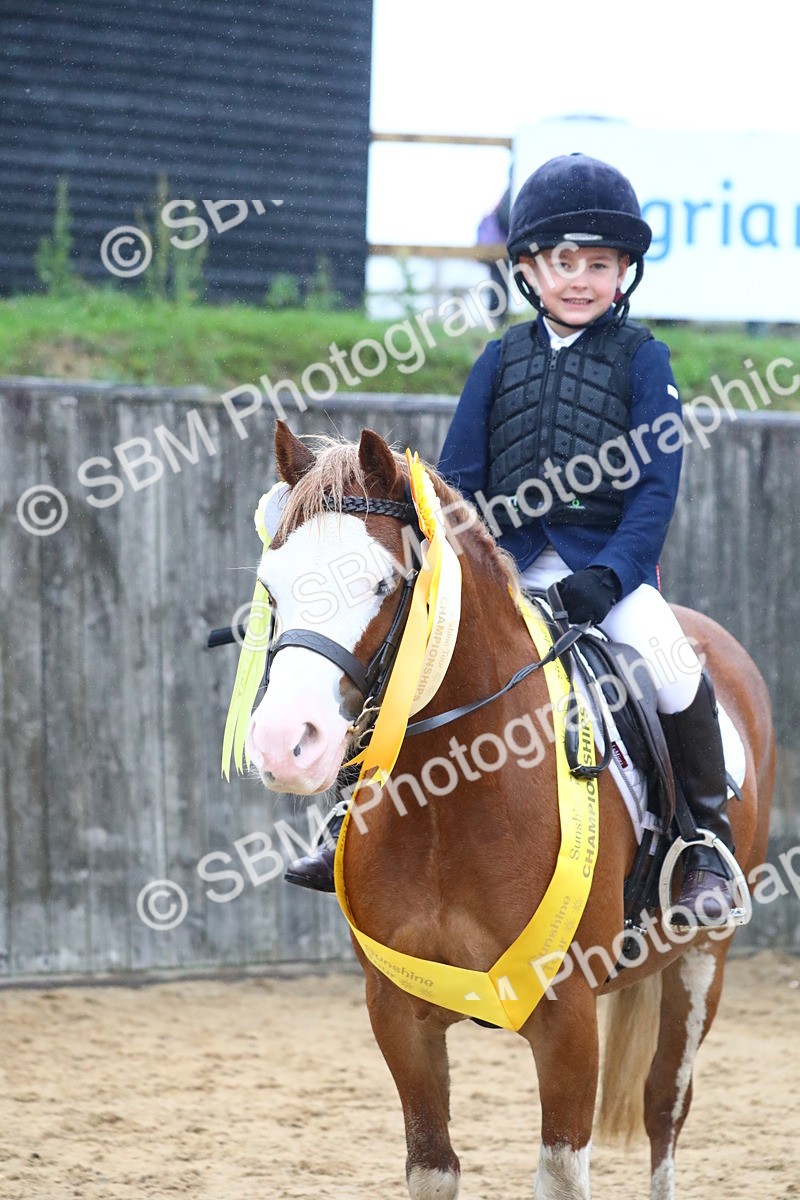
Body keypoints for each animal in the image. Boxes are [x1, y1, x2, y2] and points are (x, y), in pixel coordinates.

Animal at [244, 420, 775, 1200]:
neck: (447, 804)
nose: (284, 745)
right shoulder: (396, 1012)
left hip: (704, 961)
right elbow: (432, 1166)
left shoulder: (567, 1018)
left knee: (664, 1110)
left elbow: (562, 1173)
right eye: (273, 587)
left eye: (384, 583)